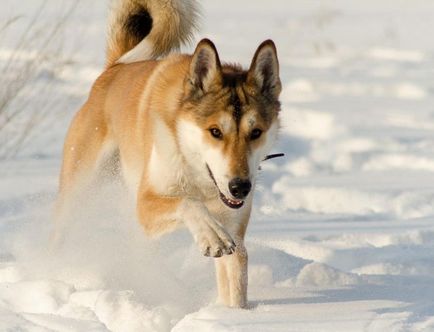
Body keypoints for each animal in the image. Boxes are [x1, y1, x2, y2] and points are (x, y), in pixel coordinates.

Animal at [55, 0, 282, 308]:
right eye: (215, 131)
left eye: (256, 132)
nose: (240, 187)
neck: (197, 172)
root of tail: (114, 69)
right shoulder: (146, 203)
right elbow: (188, 203)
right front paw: (210, 235)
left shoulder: (235, 234)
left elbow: (234, 285)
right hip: (80, 189)